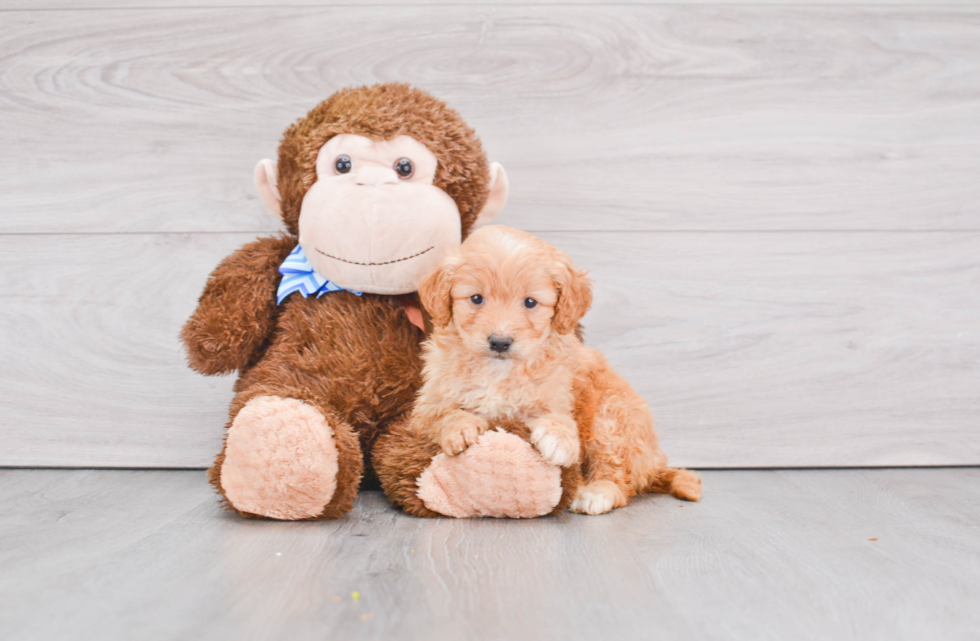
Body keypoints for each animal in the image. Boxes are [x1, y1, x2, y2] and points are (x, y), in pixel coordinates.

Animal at [410, 225, 700, 516]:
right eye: (476, 299)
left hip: (612, 419)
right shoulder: (424, 409)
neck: (499, 371)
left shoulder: (556, 396)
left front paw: (559, 439)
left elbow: (558, 418)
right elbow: (442, 414)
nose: (500, 342)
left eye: (530, 302)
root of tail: (654, 464)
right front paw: (460, 427)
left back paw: (597, 493)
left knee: (619, 477)